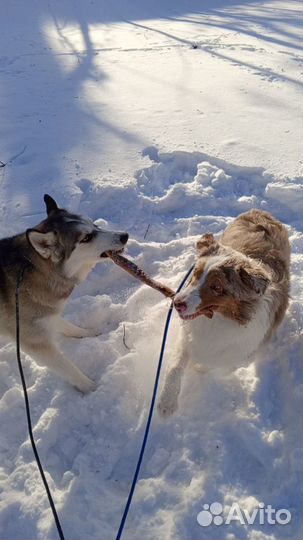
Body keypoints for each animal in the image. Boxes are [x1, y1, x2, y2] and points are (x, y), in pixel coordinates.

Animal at [0, 194, 128, 392]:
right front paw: (92, 389)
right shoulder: (35, 342)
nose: (124, 236)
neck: (35, 269)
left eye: (94, 224)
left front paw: (89, 333)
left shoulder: (44, 314)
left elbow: (68, 326)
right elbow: (70, 370)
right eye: (86, 237)